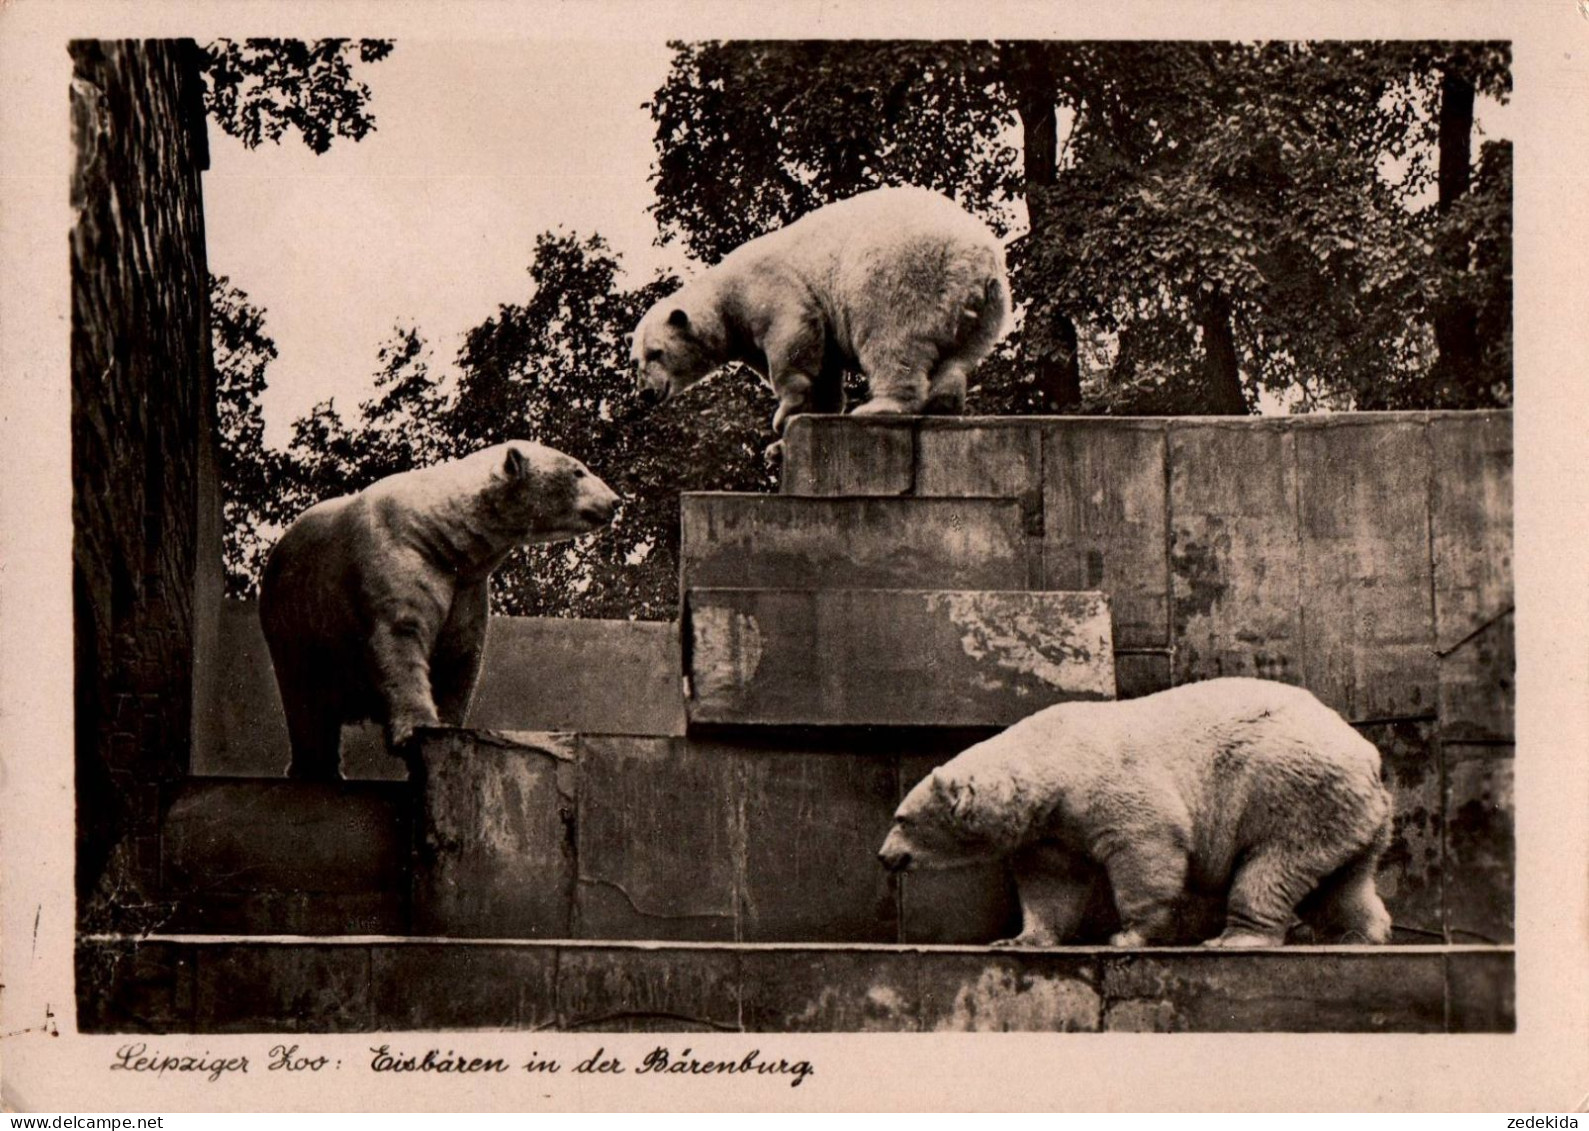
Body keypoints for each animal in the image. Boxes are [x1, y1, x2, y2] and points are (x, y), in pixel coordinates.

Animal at [257, 438, 616, 778]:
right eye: (578, 471)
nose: (615, 501)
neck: (438, 530)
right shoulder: (397, 557)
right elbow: (401, 637)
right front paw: (418, 728)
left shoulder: (466, 587)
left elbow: (459, 654)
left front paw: (449, 726)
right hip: (294, 620)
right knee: (305, 700)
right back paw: (315, 768)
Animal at [629, 184, 1004, 441]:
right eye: (636, 360)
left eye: (656, 352)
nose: (645, 392)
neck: (727, 294)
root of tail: (978, 259)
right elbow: (825, 367)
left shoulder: (772, 289)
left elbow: (793, 341)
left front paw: (784, 414)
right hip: (983, 309)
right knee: (957, 357)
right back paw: (944, 402)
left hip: (901, 276)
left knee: (891, 340)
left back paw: (879, 406)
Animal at [877, 676, 1398, 946]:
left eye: (902, 818)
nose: (884, 856)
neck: (1054, 760)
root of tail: (1368, 756)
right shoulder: (1053, 827)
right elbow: (1050, 881)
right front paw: (1019, 939)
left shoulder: (1109, 786)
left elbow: (1145, 847)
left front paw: (1128, 936)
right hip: (1345, 814)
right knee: (1341, 880)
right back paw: (1359, 935)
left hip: (1290, 792)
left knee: (1271, 868)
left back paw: (1232, 937)